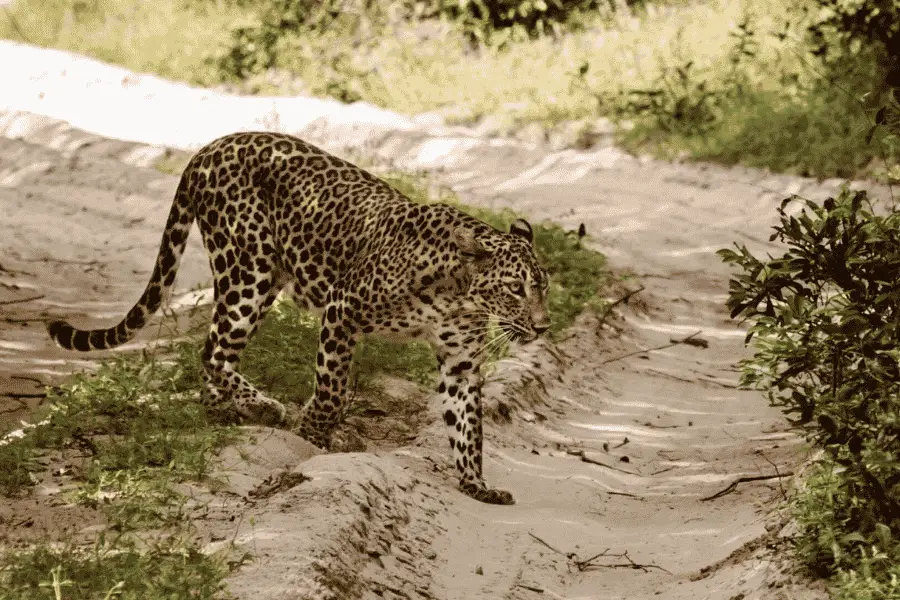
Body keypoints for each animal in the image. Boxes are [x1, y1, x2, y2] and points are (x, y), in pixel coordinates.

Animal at [46, 131, 551, 505]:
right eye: (515, 288)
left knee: (214, 348)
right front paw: (312, 429)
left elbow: (468, 426)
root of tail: (209, 147)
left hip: (260, 279)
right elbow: (331, 388)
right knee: (212, 350)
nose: (544, 327)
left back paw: (224, 411)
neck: (460, 294)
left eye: (543, 286)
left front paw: (476, 484)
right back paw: (263, 407)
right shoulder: (343, 311)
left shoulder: (460, 359)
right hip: (248, 268)